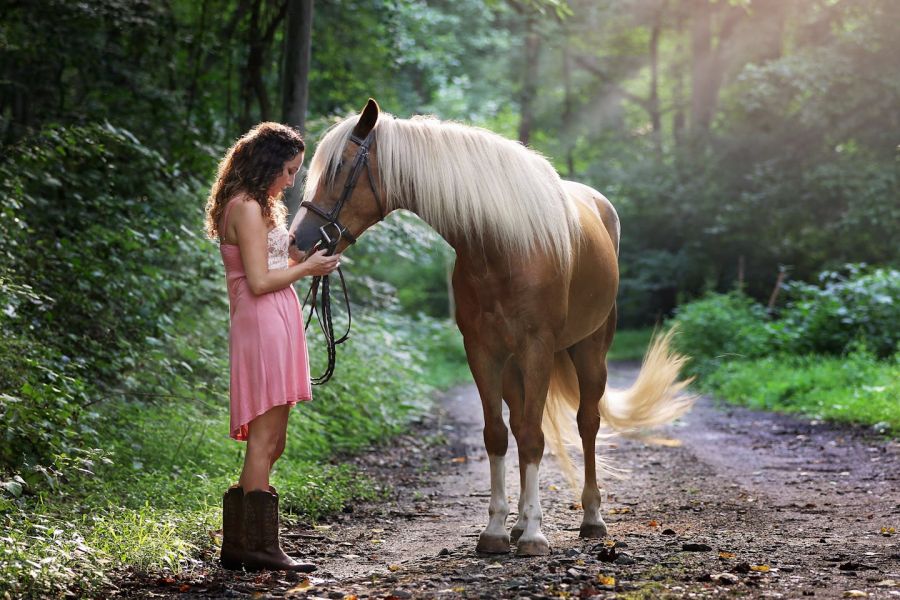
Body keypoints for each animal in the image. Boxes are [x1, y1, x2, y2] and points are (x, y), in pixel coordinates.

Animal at [291, 99, 693, 556]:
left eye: (340, 167)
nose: (298, 241)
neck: (502, 246)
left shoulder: (537, 348)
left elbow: (535, 437)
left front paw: (535, 535)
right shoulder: (483, 351)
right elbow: (498, 435)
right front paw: (499, 530)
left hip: (590, 351)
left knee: (586, 423)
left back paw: (591, 518)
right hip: (514, 366)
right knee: (519, 424)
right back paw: (519, 523)